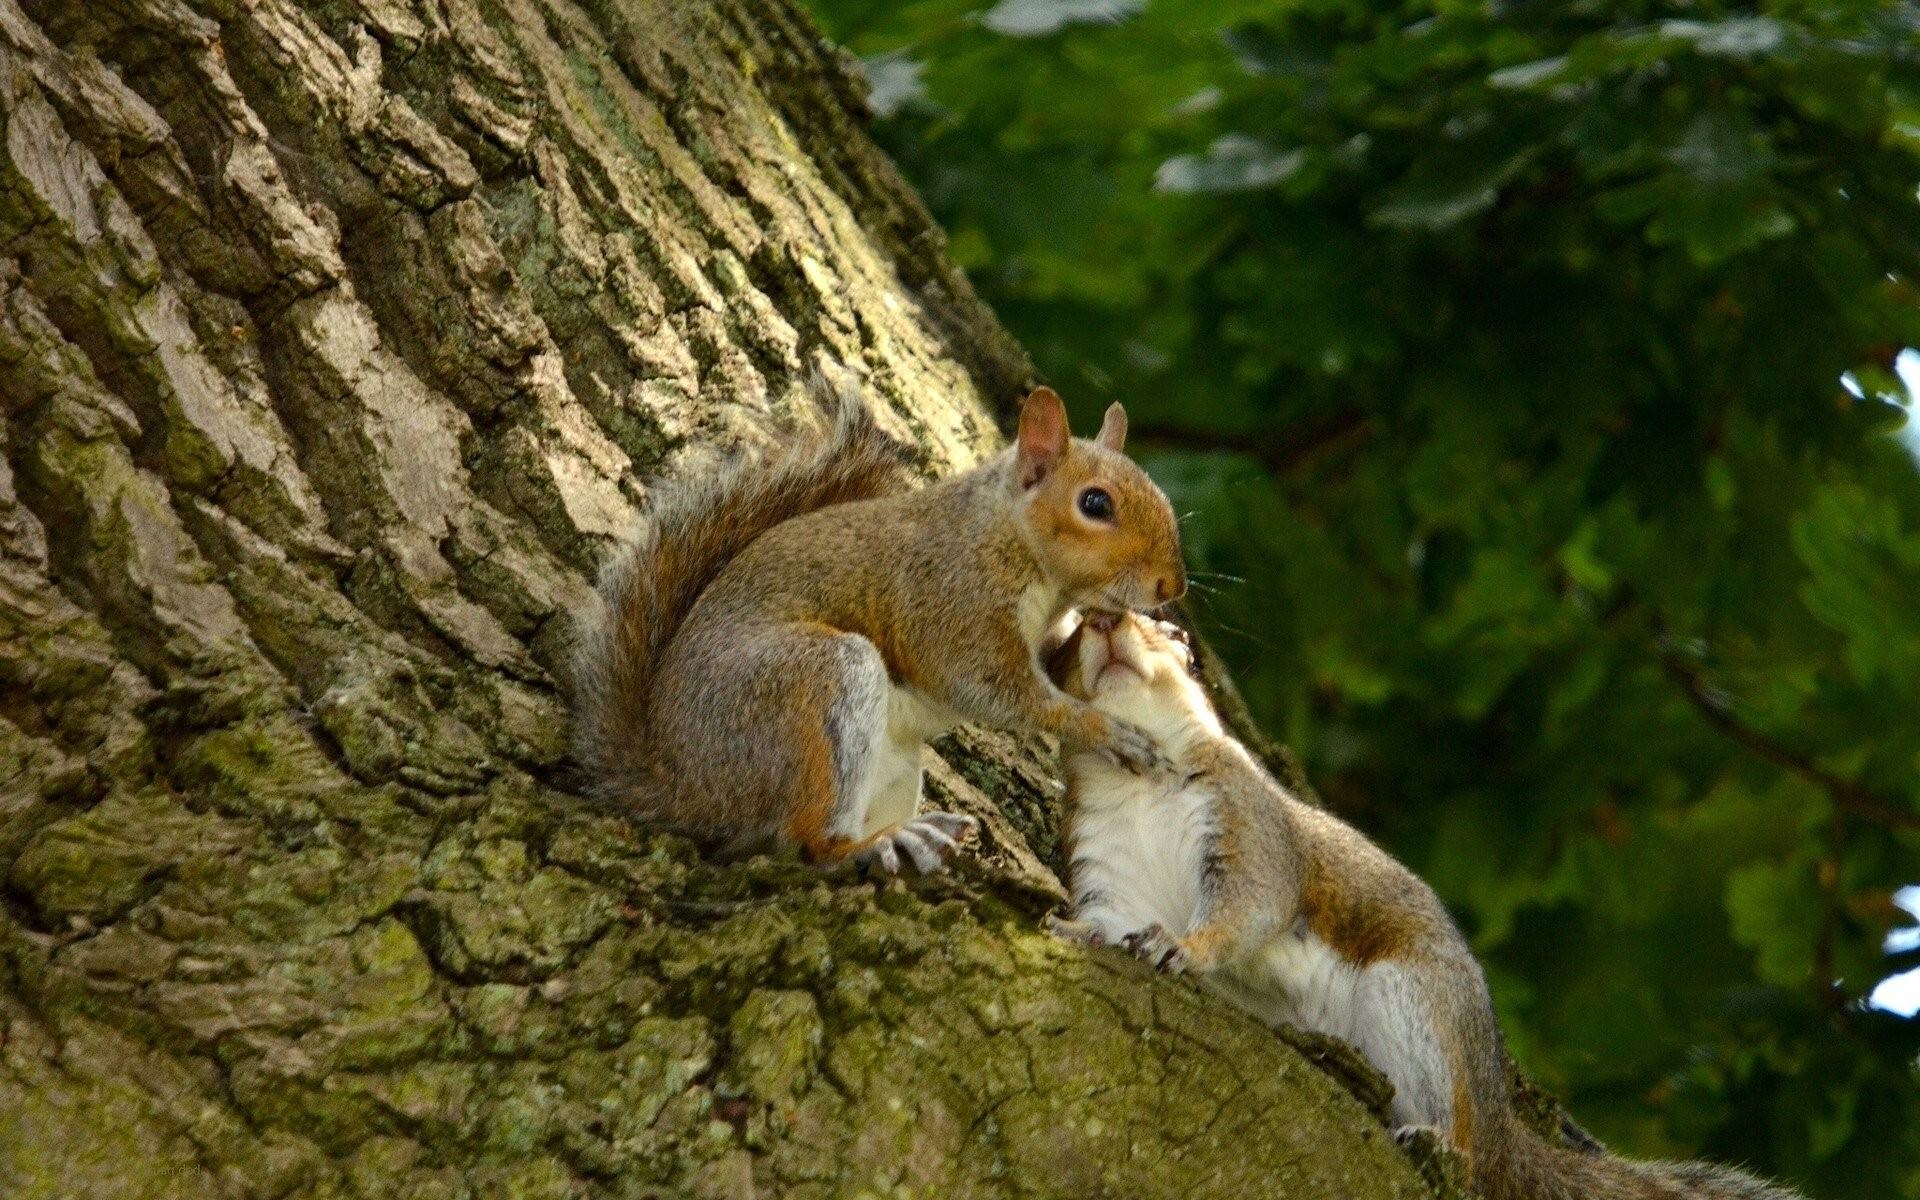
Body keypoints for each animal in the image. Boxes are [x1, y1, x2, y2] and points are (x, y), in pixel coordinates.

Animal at [568, 382, 1182, 871]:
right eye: (1095, 503)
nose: (1171, 588)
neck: (1010, 542)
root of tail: (683, 786)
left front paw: (1133, 629)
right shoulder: (952, 604)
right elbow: (996, 692)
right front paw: (1108, 731)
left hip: (892, 764)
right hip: (808, 689)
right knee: (808, 841)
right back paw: (868, 845)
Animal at [1036, 606, 1797, 1198]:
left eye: (1170, 635)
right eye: (1059, 650)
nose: (1104, 620)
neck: (1141, 783)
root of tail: (1497, 1123)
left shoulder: (1249, 822)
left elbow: (1248, 905)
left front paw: (1182, 944)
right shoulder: (1106, 864)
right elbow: (1108, 917)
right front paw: (1073, 932)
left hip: (1415, 1001)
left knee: (1456, 1137)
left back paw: (1435, 1137)